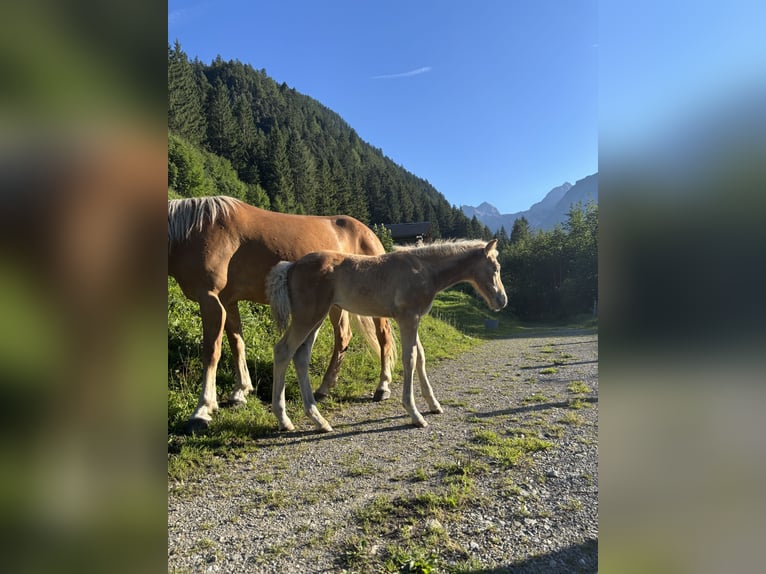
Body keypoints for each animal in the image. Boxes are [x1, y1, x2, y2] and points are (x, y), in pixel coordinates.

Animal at [168, 195, 396, 431]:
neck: (194, 233)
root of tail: (369, 233)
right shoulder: (227, 302)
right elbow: (237, 344)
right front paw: (240, 391)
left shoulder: (211, 301)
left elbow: (212, 352)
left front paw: (202, 410)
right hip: (334, 305)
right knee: (343, 336)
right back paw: (324, 388)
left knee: (383, 336)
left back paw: (382, 387)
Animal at [266, 239, 508, 432]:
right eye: (495, 267)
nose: (502, 301)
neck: (424, 270)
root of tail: (291, 266)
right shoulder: (408, 318)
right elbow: (410, 359)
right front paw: (415, 414)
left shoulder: (413, 319)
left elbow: (421, 357)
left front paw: (434, 405)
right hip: (308, 317)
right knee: (283, 351)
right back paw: (285, 420)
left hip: (316, 319)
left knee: (301, 356)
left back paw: (319, 420)